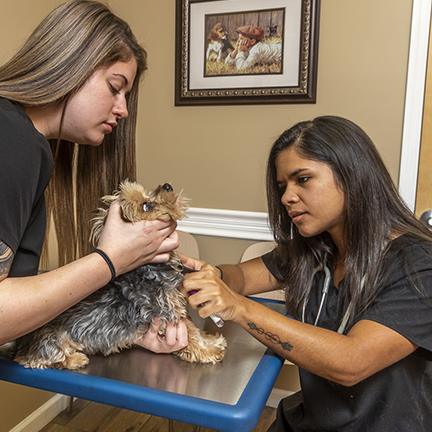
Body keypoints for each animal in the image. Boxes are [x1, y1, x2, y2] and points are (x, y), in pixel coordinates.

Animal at [2, 181, 226, 370]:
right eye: (147, 206)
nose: (167, 185)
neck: (152, 268)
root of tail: (20, 343)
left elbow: (195, 330)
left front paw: (212, 341)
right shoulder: (165, 313)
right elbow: (190, 334)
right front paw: (208, 350)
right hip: (53, 338)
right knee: (38, 359)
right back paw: (75, 359)